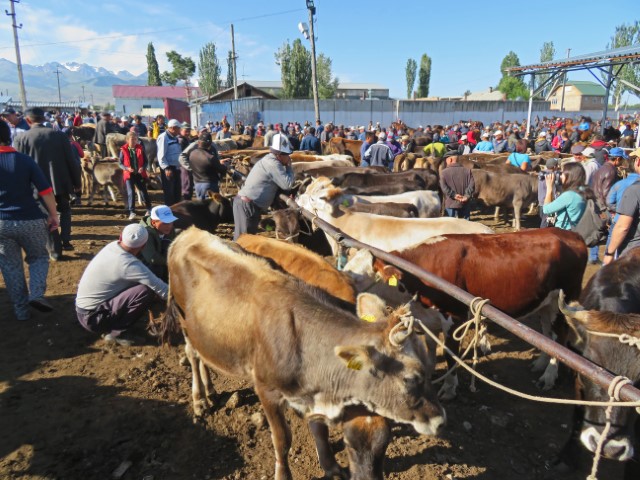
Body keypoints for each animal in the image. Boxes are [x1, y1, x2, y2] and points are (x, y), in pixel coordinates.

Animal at [160, 228, 444, 480]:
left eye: (385, 445)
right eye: (411, 379)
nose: (440, 420)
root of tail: (188, 233)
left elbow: (319, 428)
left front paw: (330, 466)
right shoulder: (266, 390)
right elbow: (282, 440)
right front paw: (283, 474)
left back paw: (210, 389)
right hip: (184, 322)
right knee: (192, 354)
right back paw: (199, 399)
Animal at [372, 228, 588, 398]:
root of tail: (570, 234)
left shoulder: (455, 316)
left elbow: (450, 355)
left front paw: (449, 389)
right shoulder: (427, 318)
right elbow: (430, 346)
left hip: (562, 301)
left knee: (559, 336)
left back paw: (549, 376)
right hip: (544, 303)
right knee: (546, 334)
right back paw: (540, 364)